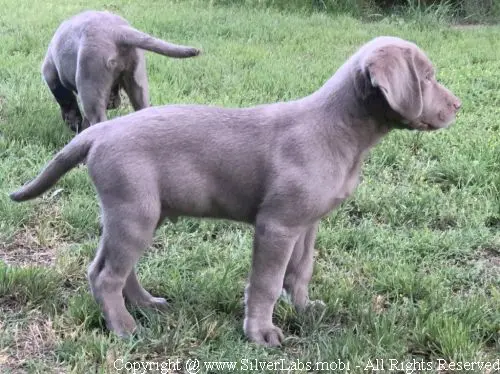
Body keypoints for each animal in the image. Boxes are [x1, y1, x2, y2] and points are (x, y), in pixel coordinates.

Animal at [10, 36, 460, 346]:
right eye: (427, 78)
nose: (457, 106)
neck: (340, 130)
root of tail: (99, 131)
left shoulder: (307, 224)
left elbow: (301, 270)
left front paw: (305, 309)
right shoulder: (276, 225)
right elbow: (266, 282)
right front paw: (261, 333)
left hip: (136, 213)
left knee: (111, 267)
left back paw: (145, 305)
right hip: (134, 211)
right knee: (106, 275)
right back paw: (125, 328)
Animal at [42, 10, 200, 131]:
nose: (113, 103)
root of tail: (118, 31)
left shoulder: (51, 75)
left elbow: (67, 102)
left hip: (90, 86)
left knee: (97, 120)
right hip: (137, 82)